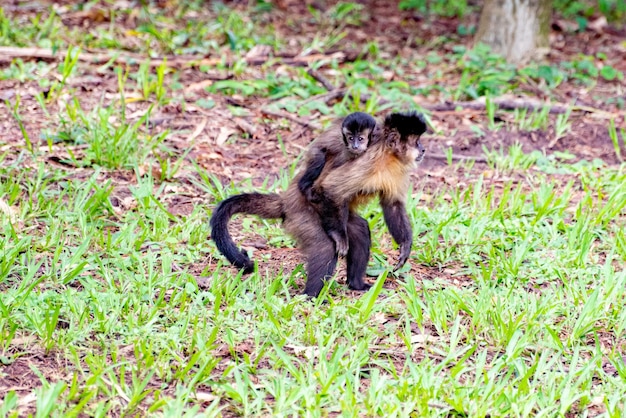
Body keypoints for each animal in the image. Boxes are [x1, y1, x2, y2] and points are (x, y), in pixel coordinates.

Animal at [294, 111, 372, 256]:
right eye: (351, 138)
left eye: (361, 138)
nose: (355, 146)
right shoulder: (339, 140)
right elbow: (321, 148)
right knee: (320, 156)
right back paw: (305, 186)